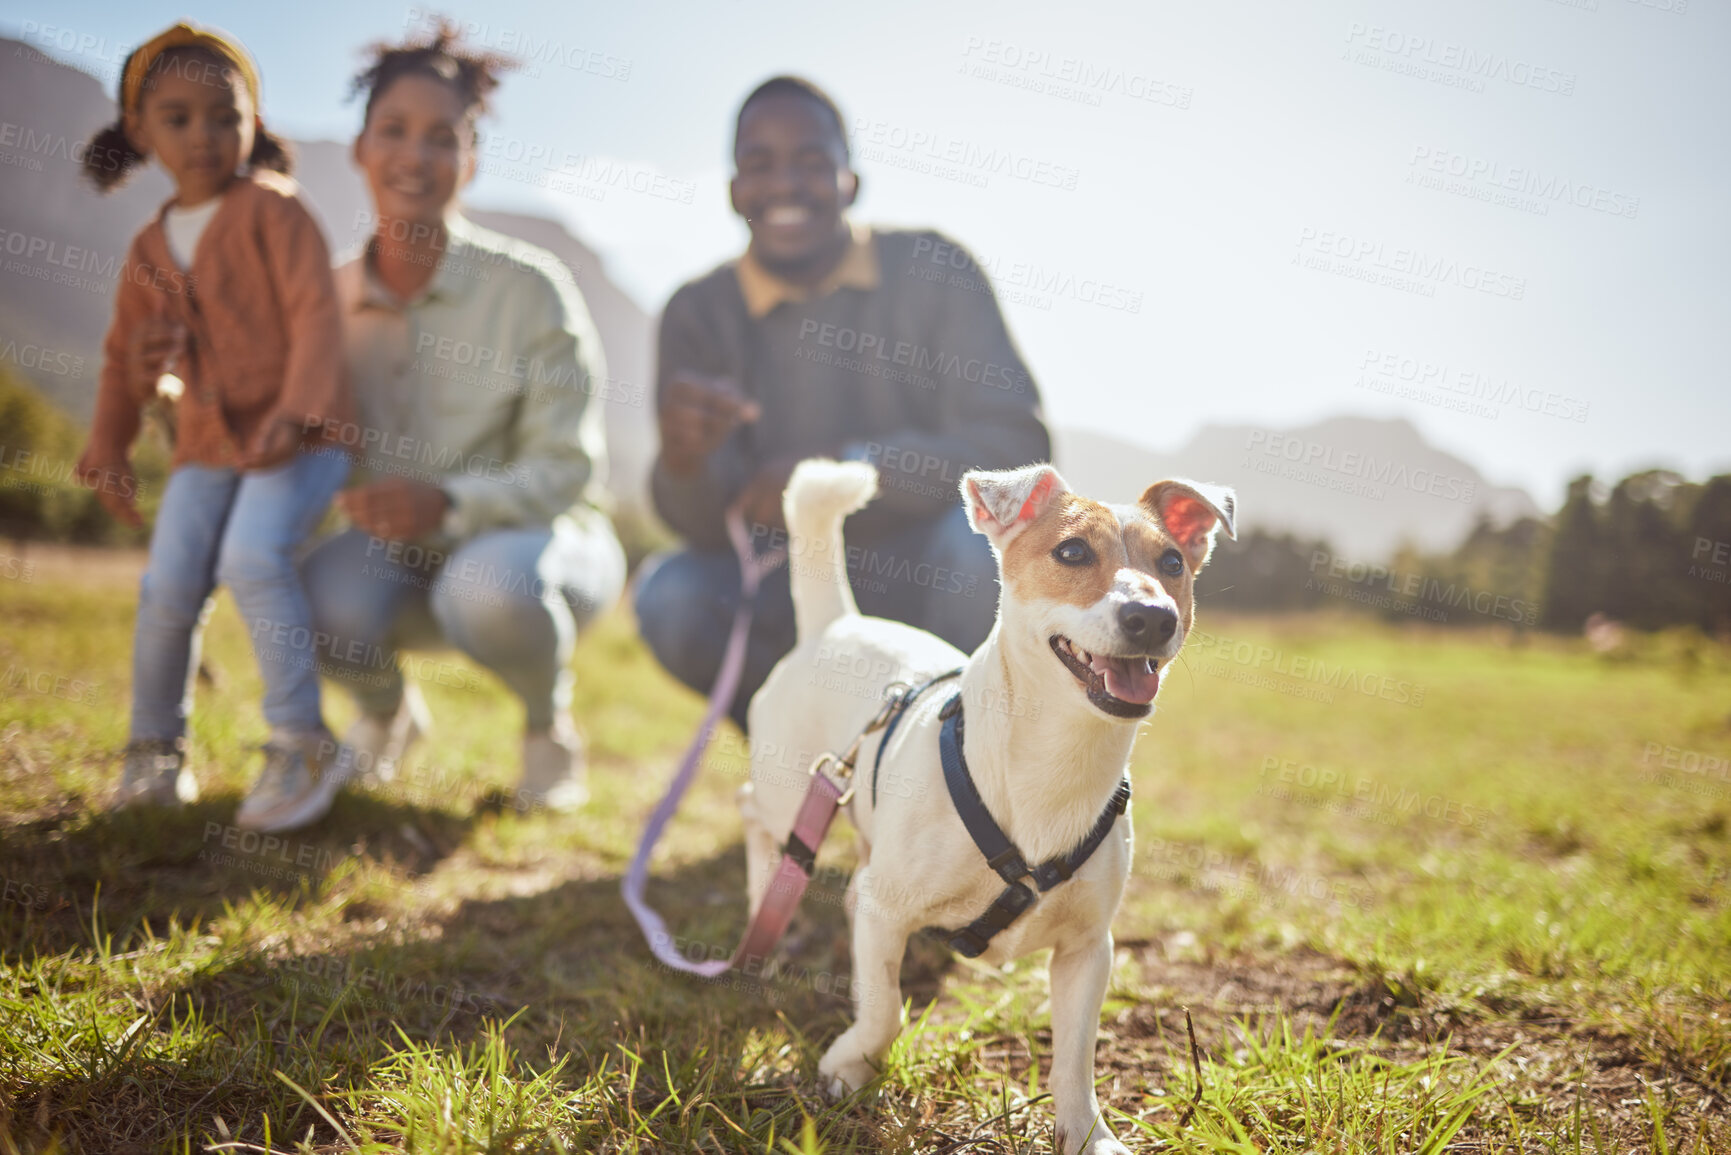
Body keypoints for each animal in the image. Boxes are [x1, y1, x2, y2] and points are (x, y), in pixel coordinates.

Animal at [737, 460, 1239, 1155]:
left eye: (1171, 563)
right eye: (1072, 552)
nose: (1153, 617)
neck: (1056, 761)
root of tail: (836, 623)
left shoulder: (1089, 949)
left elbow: (1075, 1058)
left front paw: (1088, 1133)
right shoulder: (888, 909)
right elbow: (884, 1009)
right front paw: (849, 1065)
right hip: (789, 789)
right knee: (762, 822)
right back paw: (764, 898)